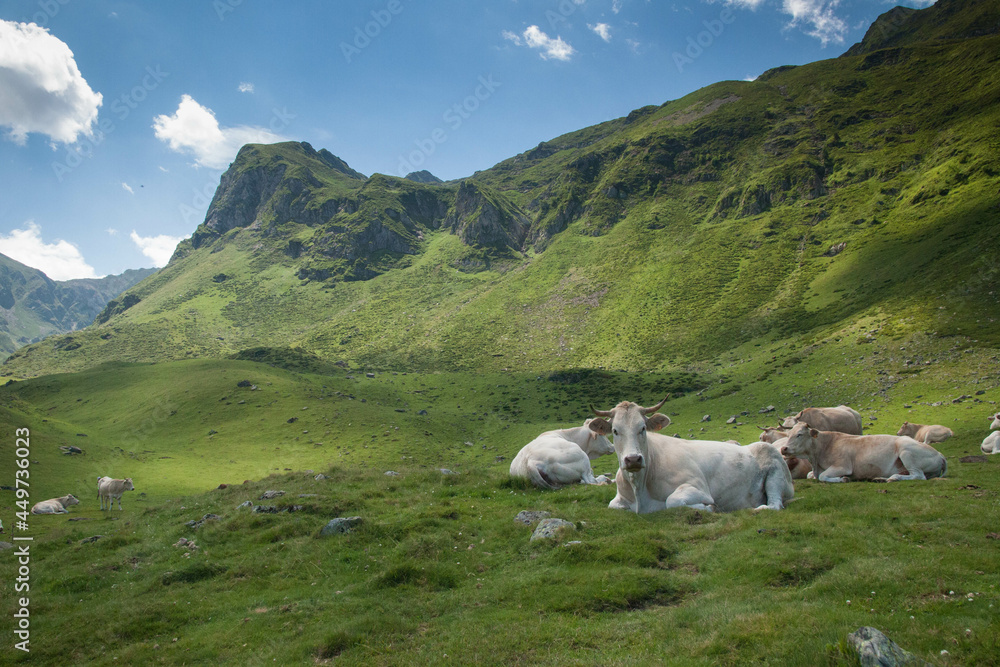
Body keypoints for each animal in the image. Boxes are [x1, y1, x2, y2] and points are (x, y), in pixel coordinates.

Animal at [588, 397, 793, 513]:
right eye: (615, 431)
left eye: (643, 428)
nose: (632, 459)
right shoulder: (619, 500)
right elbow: (612, 505)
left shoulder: (698, 487)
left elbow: (672, 501)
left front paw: (708, 508)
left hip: (775, 472)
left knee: (774, 504)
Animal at [779, 422, 946, 482]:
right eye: (789, 434)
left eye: (799, 434)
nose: (783, 449)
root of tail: (940, 454)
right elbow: (812, 475)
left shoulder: (843, 466)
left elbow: (823, 476)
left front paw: (843, 479)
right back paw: (880, 478)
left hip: (906, 451)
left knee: (918, 476)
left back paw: (894, 478)